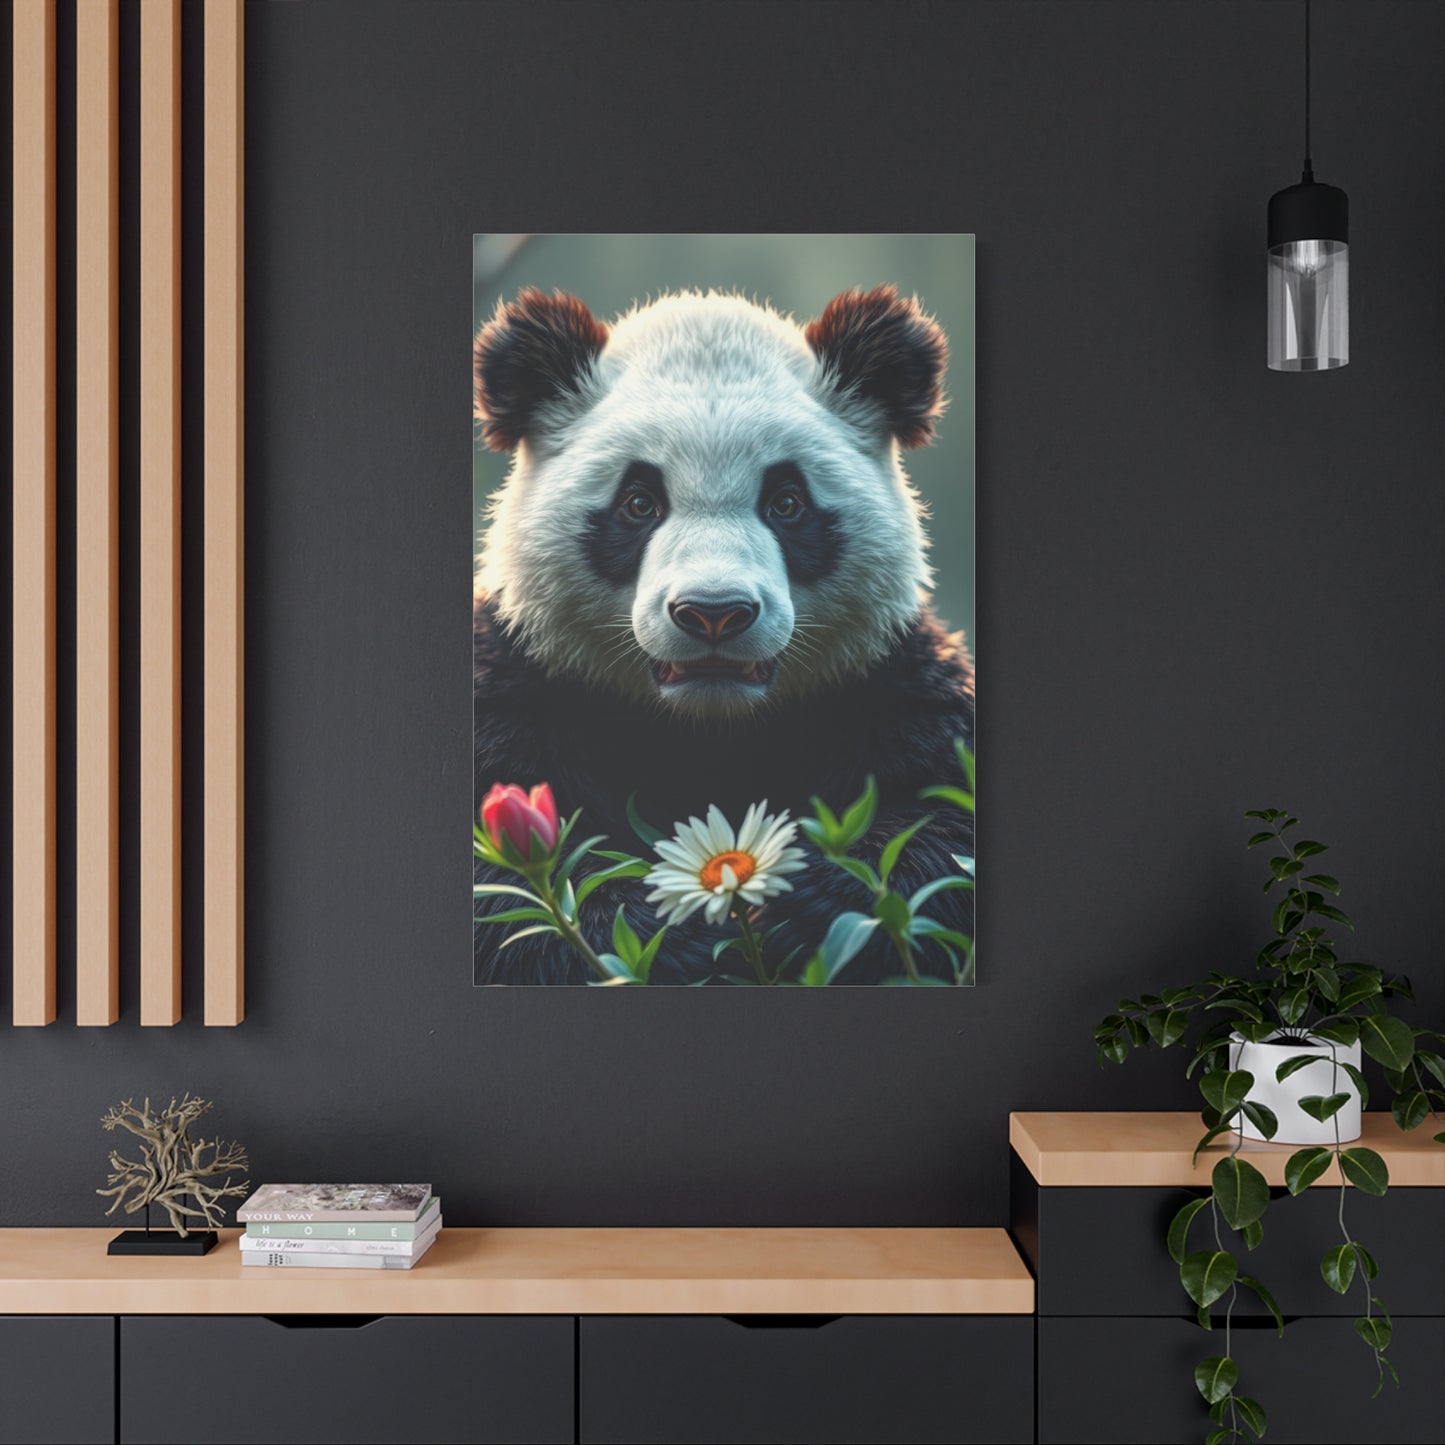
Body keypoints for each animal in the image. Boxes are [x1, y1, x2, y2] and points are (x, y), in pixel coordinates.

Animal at [473, 284, 974, 984]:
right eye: (638, 503)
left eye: (787, 502)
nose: (714, 612)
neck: (710, 731)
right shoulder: (518, 685)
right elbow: (507, 899)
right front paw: (666, 928)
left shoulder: (891, 680)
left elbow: (946, 822)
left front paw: (806, 909)